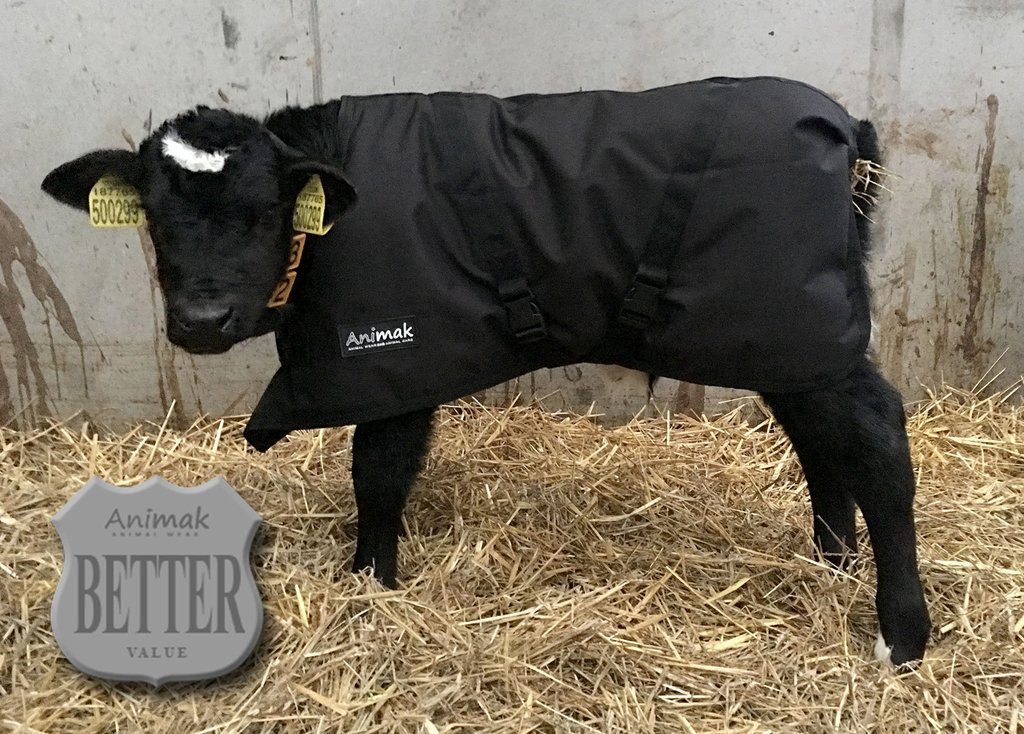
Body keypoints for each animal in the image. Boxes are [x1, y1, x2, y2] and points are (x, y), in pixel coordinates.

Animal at [41, 76, 931, 666]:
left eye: (264, 212)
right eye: (153, 219)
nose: (201, 321)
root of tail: (849, 131)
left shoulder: (398, 356)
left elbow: (378, 471)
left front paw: (371, 583)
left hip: (796, 317)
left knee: (878, 438)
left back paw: (902, 632)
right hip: (785, 334)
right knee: (820, 440)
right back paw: (830, 560)